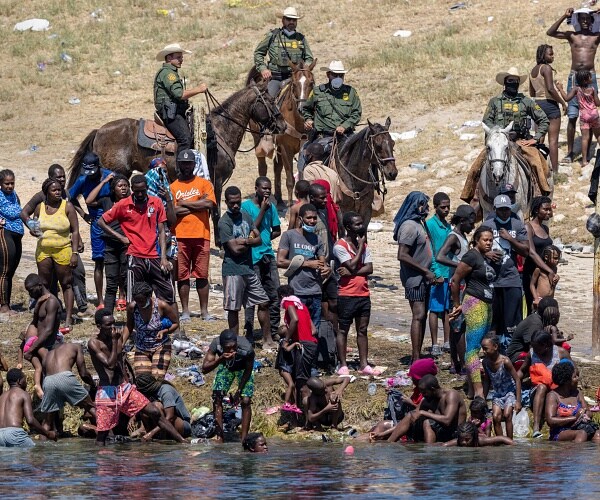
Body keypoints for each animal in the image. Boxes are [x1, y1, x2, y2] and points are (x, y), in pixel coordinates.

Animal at [66, 79, 288, 245]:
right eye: (269, 100)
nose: (283, 125)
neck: (219, 131)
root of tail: (99, 131)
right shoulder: (216, 180)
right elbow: (216, 211)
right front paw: (219, 243)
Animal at [246, 60, 316, 205]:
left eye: (311, 83)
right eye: (294, 84)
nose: (303, 108)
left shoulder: (303, 147)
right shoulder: (285, 148)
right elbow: (290, 180)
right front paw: (290, 207)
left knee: (277, 167)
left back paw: (278, 198)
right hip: (258, 140)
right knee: (263, 167)